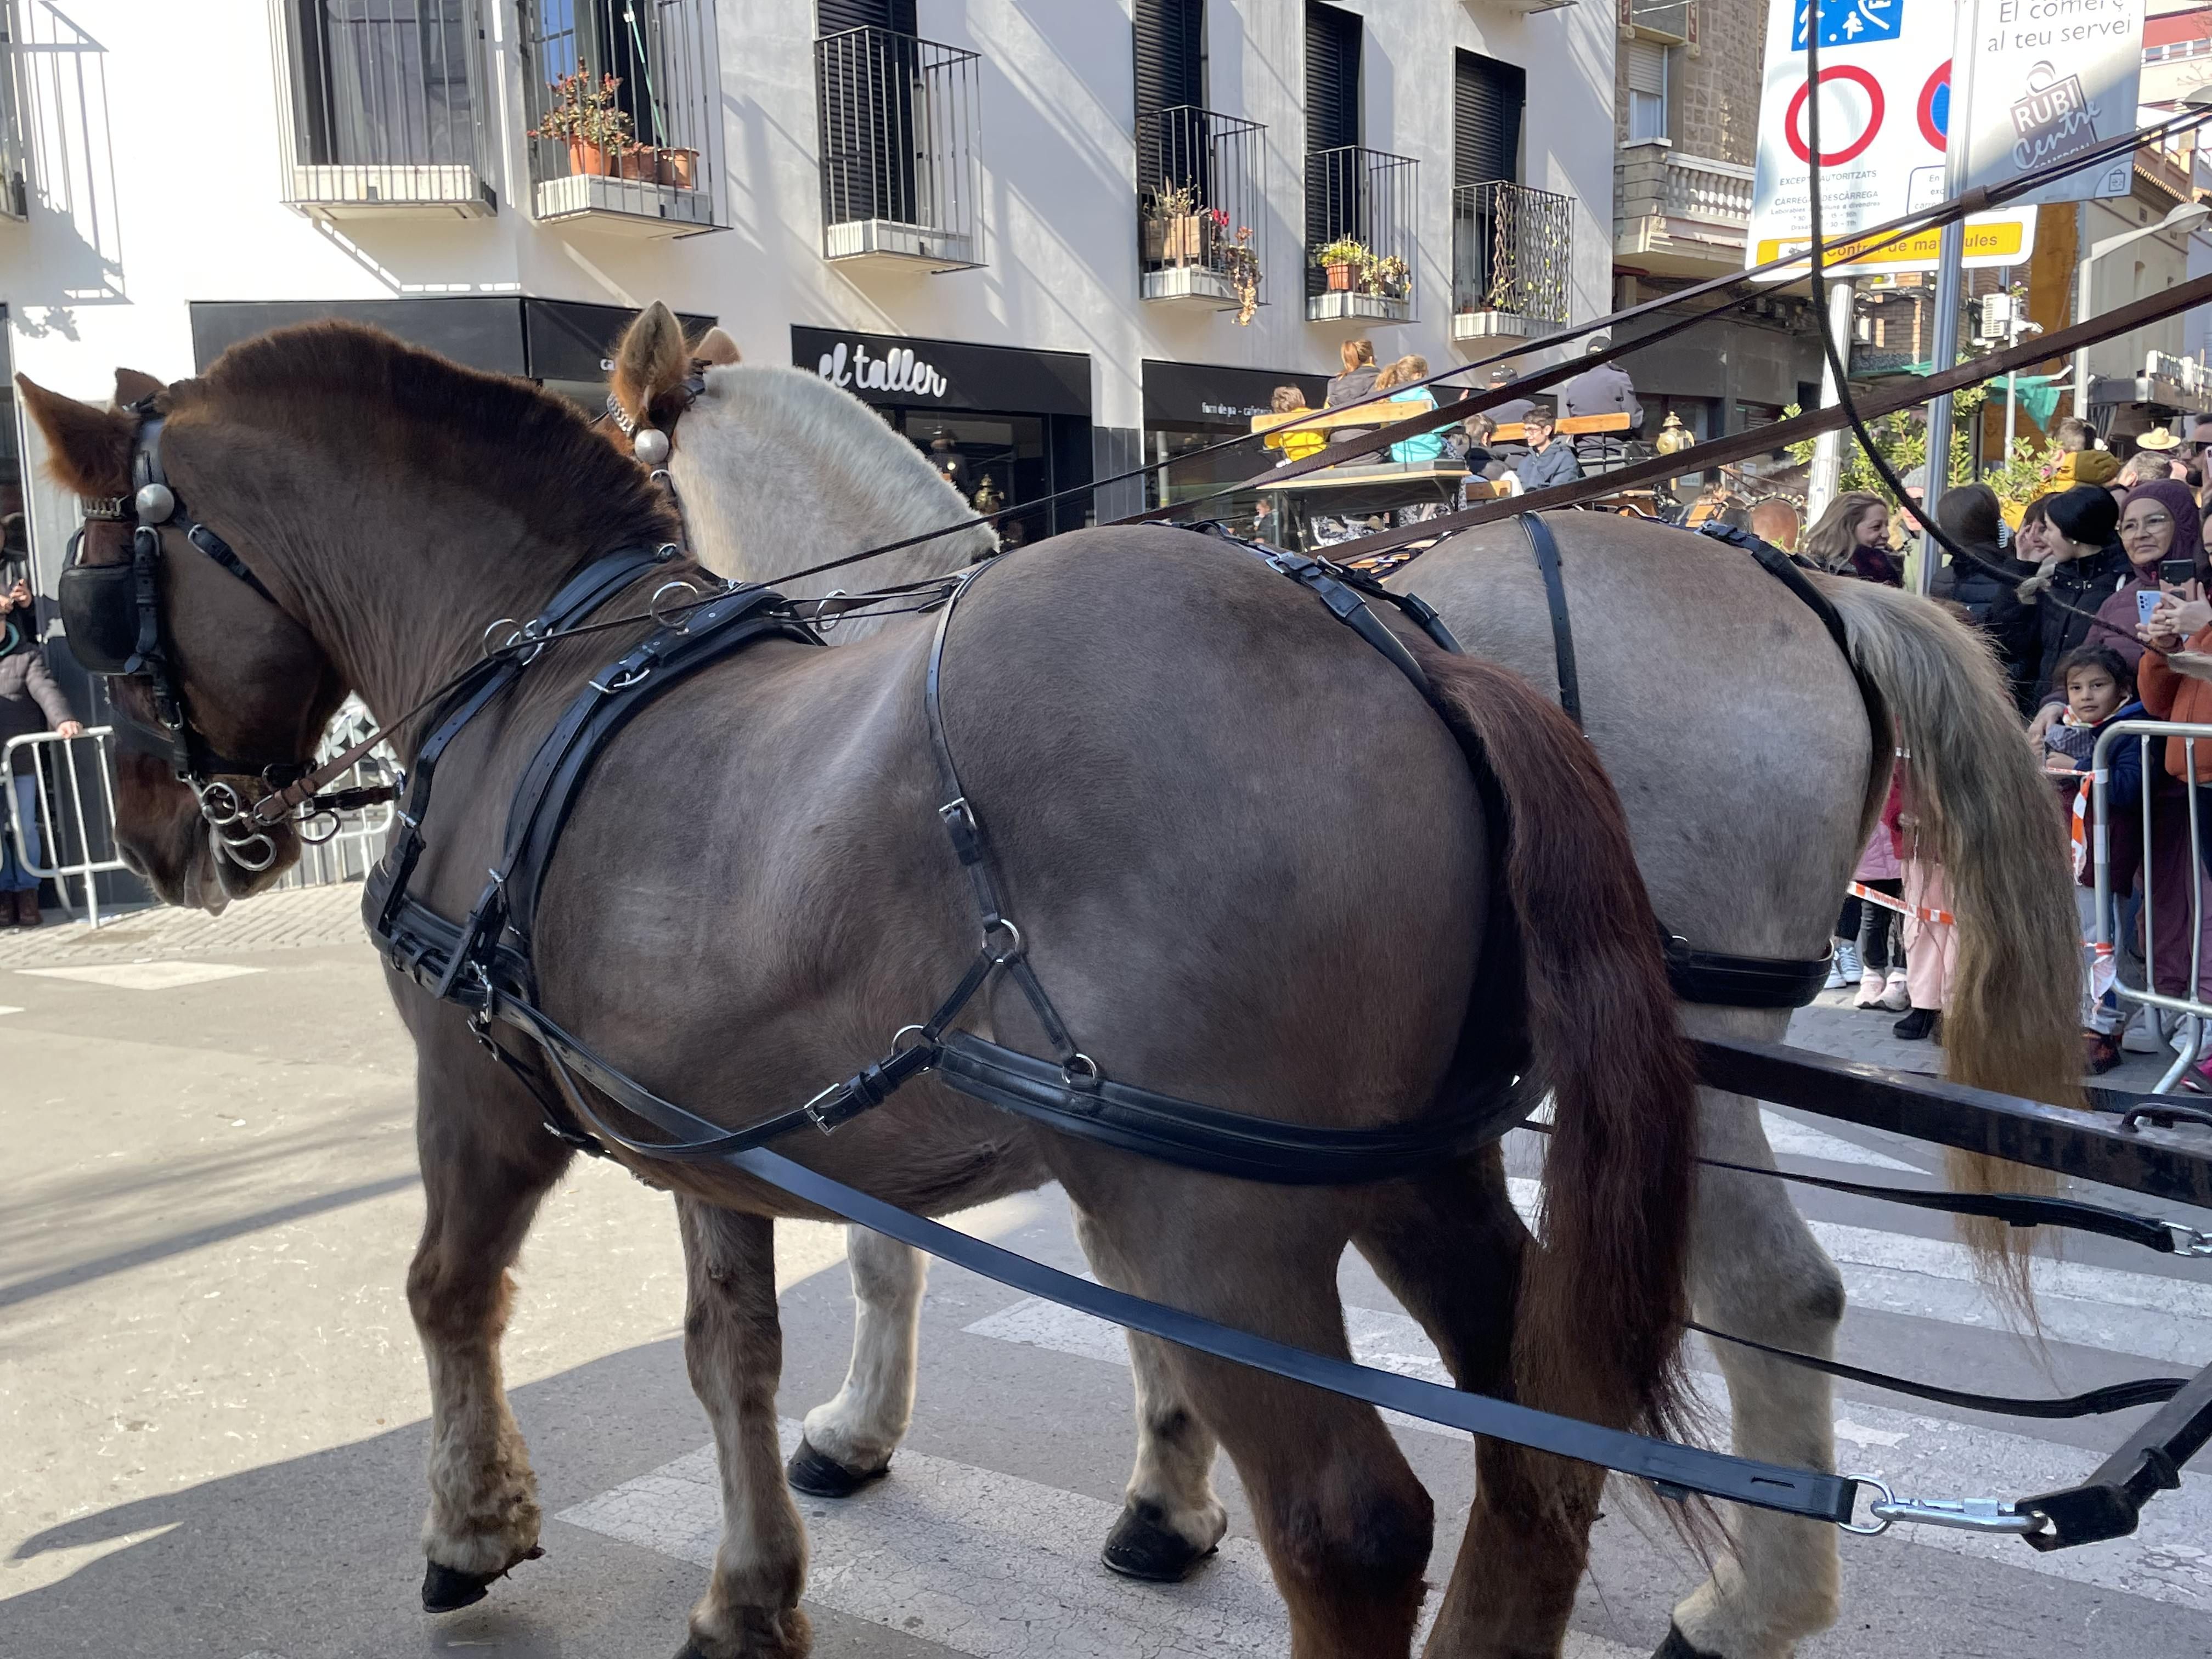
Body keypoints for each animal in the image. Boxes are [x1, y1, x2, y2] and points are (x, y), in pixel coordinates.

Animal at [21, 327, 1707, 1659]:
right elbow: (731, 1355)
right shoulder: (708, 1133)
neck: (530, 672)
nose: (156, 839)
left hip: (1223, 1215)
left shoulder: (481, 1096)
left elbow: (448, 1293)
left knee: (1350, 1525)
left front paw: (470, 1527)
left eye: (93, 601)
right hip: (1422, 1168)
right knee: (1540, 1446)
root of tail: (1397, 655)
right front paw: (753, 1590)